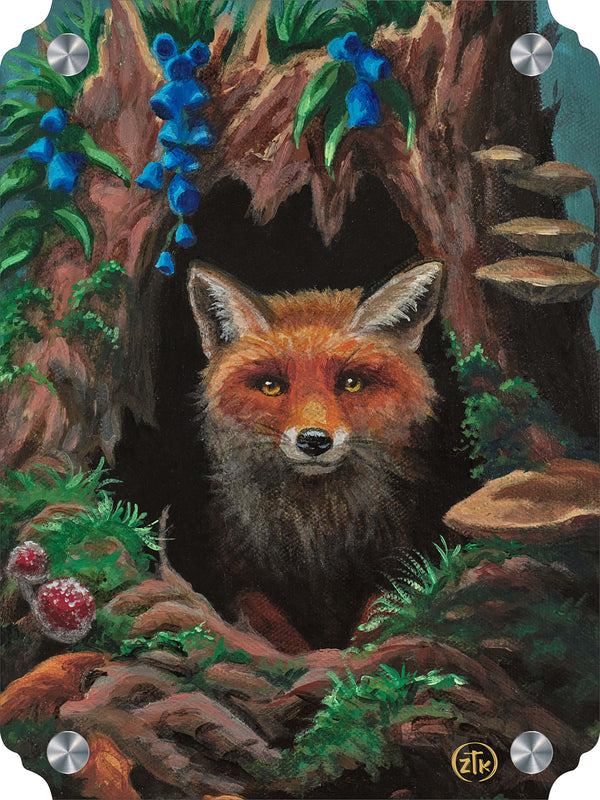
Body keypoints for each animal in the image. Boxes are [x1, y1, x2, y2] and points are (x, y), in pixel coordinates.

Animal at [188, 261, 443, 650]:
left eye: (351, 383)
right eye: (271, 386)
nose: (313, 441)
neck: (318, 527)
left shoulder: (396, 565)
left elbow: (375, 622)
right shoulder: (241, 579)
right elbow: (276, 631)